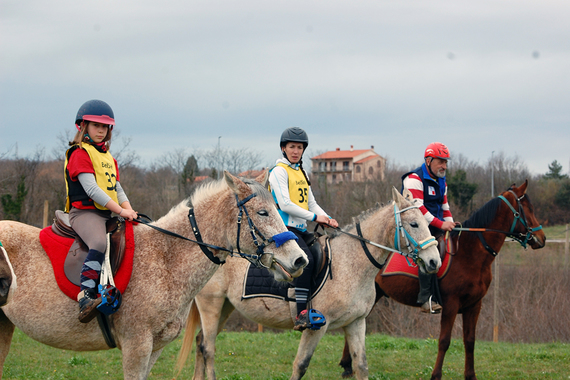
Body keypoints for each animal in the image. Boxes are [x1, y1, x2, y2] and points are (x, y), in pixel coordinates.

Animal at [176, 189, 440, 380]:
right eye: (414, 224)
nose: (434, 261)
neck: (350, 262)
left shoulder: (356, 323)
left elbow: (361, 365)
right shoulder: (317, 327)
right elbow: (300, 365)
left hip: (226, 307)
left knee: (200, 344)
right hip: (211, 305)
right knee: (208, 349)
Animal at [338, 180, 544, 380]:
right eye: (528, 209)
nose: (541, 238)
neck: (469, 253)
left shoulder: (474, 305)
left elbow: (470, 341)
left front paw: (470, 375)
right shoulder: (451, 304)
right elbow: (444, 341)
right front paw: (436, 375)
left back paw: (347, 366)